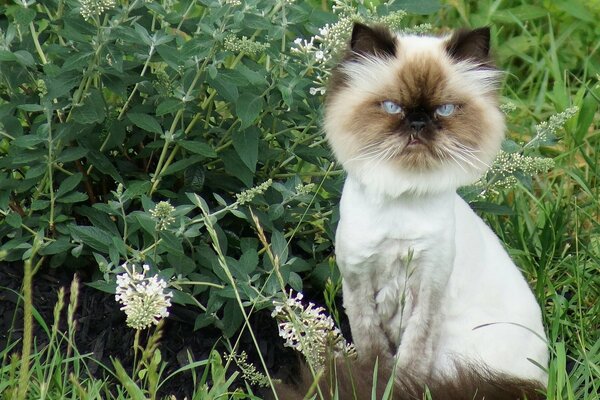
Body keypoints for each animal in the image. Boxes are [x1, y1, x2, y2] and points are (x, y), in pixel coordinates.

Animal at [276, 22, 548, 400]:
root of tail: (535, 385)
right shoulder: (358, 283)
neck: (403, 194)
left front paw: (396, 388)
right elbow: (374, 351)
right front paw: (375, 382)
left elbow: (412, 361)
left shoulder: (427, 289)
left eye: (445, 110)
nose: (418, 123)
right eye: (392, 107)